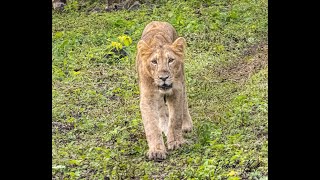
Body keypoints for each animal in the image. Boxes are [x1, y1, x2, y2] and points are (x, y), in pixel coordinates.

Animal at [135, 21, 192, 160]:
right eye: (154, 61)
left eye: (170, 60)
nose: (163, 77)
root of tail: (157, 21)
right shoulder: (147, 98)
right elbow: (151, 126)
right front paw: (156, 151)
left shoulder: (176, 91)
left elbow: (176, 119)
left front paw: (176, 142)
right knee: (161, 110)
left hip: (182, 79)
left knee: (184, 101)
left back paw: (186, 125)